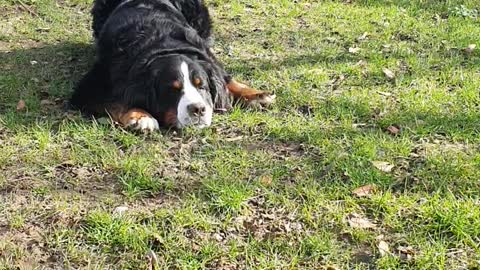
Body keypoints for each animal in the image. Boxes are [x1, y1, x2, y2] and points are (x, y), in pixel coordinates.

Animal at [69, 0, 276, 131]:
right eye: (172, 90)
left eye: (202, 86)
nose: (198, 109)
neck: (162, 46)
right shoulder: (90, 87)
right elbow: (116, 102)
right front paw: (141, 117)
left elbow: (225, 77)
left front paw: (255, 94)